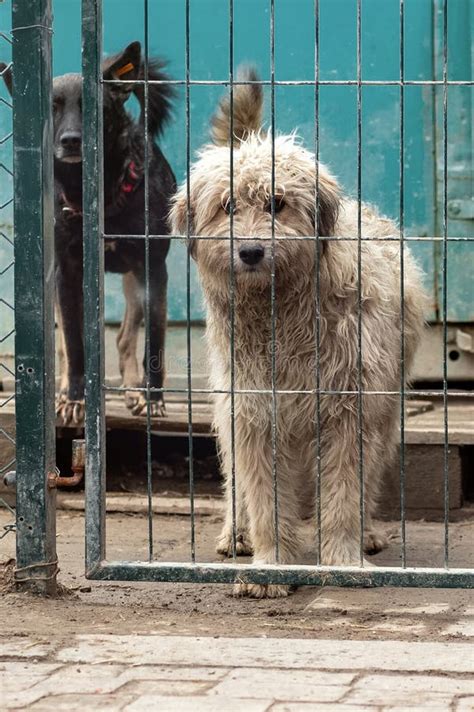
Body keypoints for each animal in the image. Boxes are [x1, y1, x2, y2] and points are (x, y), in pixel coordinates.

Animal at [1, 41, 176, 422]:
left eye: (95, 108)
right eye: (52, 107)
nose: (71, 140)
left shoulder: (153, 269)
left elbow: (155, 341)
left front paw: (152, 398)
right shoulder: (66, 274)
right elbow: (73, 343)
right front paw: (74, 399)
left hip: (134, 282)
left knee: (125, 337)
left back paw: (132, 390)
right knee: (68, 346)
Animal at [169, 69, 426, 596]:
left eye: (277, 203)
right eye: (227, 206)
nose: (250, 252)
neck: (280, 313)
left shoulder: (350, 409)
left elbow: (346, 491)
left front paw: (343, 557)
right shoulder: (253, 411)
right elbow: (263, 493)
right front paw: (271, 564)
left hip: (386, 403)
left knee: (372, 472)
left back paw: (367, 532)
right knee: (235, 479)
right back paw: (238, 532)